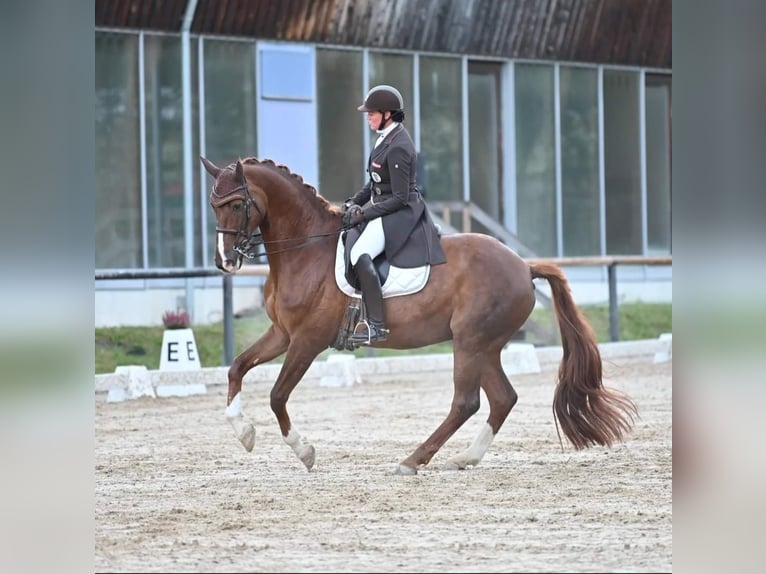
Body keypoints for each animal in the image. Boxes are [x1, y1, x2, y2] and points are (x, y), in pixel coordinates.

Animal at [201, 155, 640, 474]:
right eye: (212, 205)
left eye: (237, 204)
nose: (225, 261)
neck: (306, 249)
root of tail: (523, 266)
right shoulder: (282, 333)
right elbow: (237, 367)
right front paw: (244, 432)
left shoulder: (308, 341)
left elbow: (277, 395)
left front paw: (304, 451)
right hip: (485, 345)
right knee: (502, 398)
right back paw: (466, 458)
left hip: (470, 342)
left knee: (466, 402)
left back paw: (413, 460)